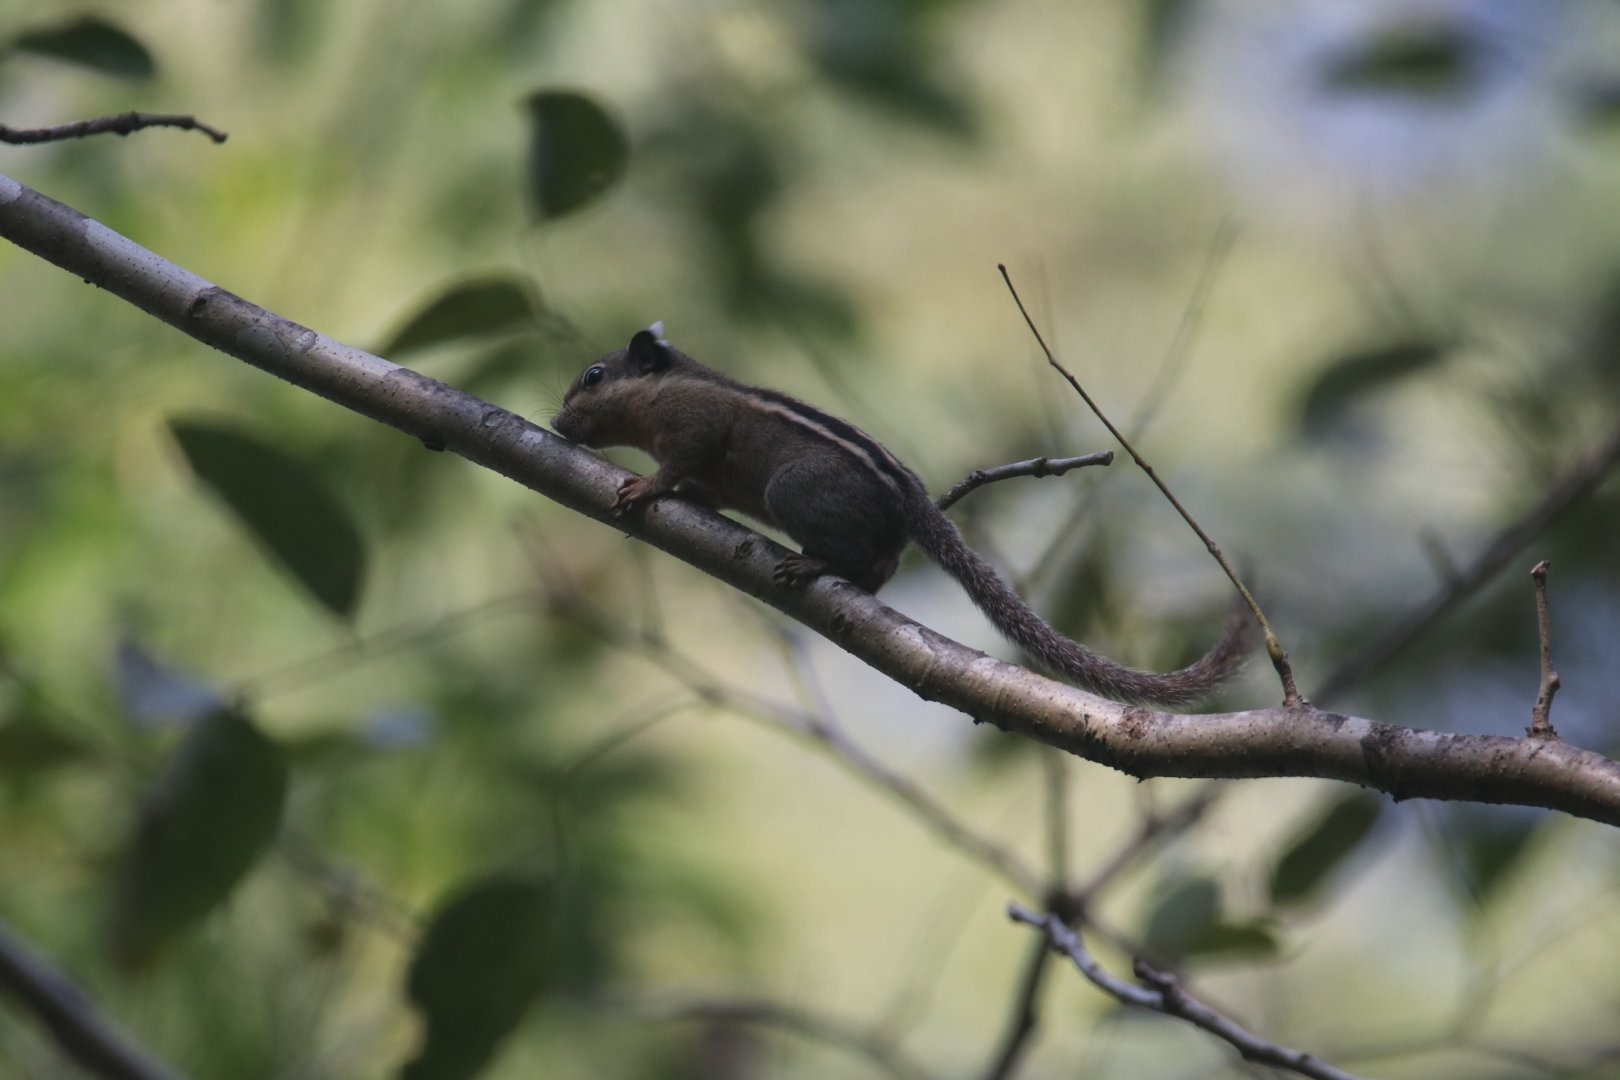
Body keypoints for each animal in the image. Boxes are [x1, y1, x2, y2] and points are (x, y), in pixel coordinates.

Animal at [551, 325, 1249, 708]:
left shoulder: (694, 431)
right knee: (881, 564)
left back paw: (813, 565)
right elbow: (703, 488)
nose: (556, 423)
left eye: (594, 376)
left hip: (789, 491)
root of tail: (911, 497)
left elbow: (681, 463)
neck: (659, 394)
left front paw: (645, 487)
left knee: (859, 552)